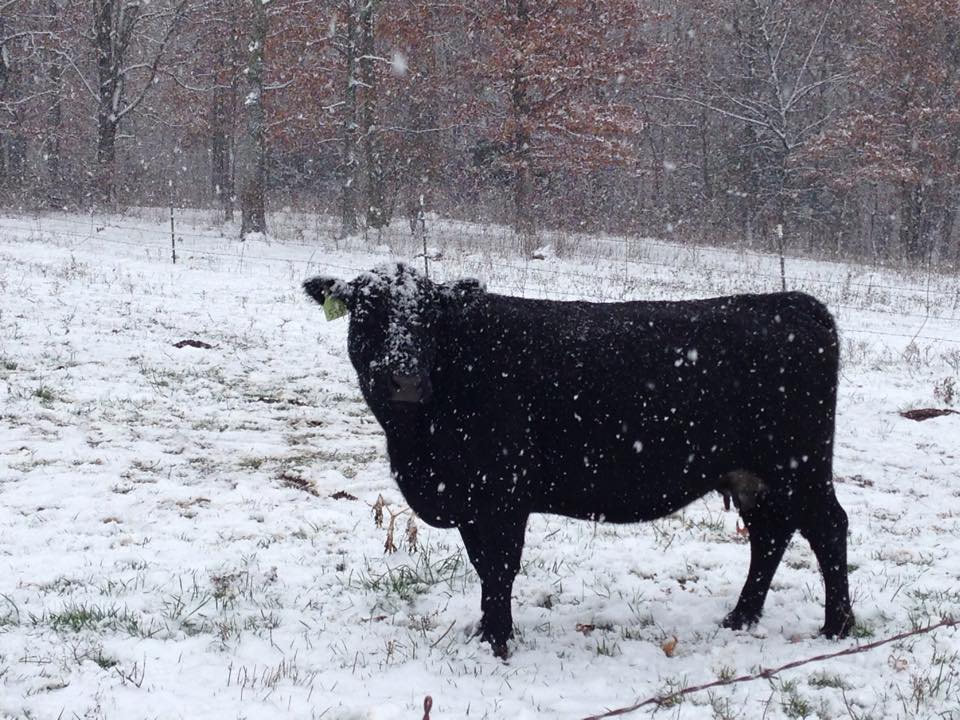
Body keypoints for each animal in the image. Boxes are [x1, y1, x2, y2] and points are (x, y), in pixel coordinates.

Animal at [303, 262, 854, 658]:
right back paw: (741, 617)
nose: (405, 378)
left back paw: (838, 626)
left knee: (827, 528)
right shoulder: (470, 502)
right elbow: (482, 567)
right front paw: (484, 631)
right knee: (770, 535)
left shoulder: (502, 493)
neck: (416, 443)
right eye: (366, 313)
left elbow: (500, 568)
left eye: (430, 319)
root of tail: (791, 302)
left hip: (800, 465)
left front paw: (497, 641)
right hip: (756, 476)